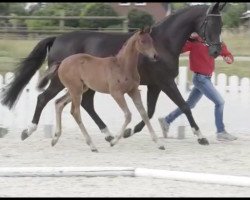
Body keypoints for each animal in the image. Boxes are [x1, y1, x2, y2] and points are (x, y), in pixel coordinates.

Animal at [0, 3, 226, 145]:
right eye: (210, 23)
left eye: (221, 24)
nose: (216, 51)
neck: (163, 42)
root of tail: (57, 38)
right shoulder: (165, 82)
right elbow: (185, 106)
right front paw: (201, 137)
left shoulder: (154, 85)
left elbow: (150, 110)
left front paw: (128, 131)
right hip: (60, 82)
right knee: (43, 98)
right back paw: (28, 131)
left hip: (85, 85)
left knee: (86, 104)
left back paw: (108, 134)